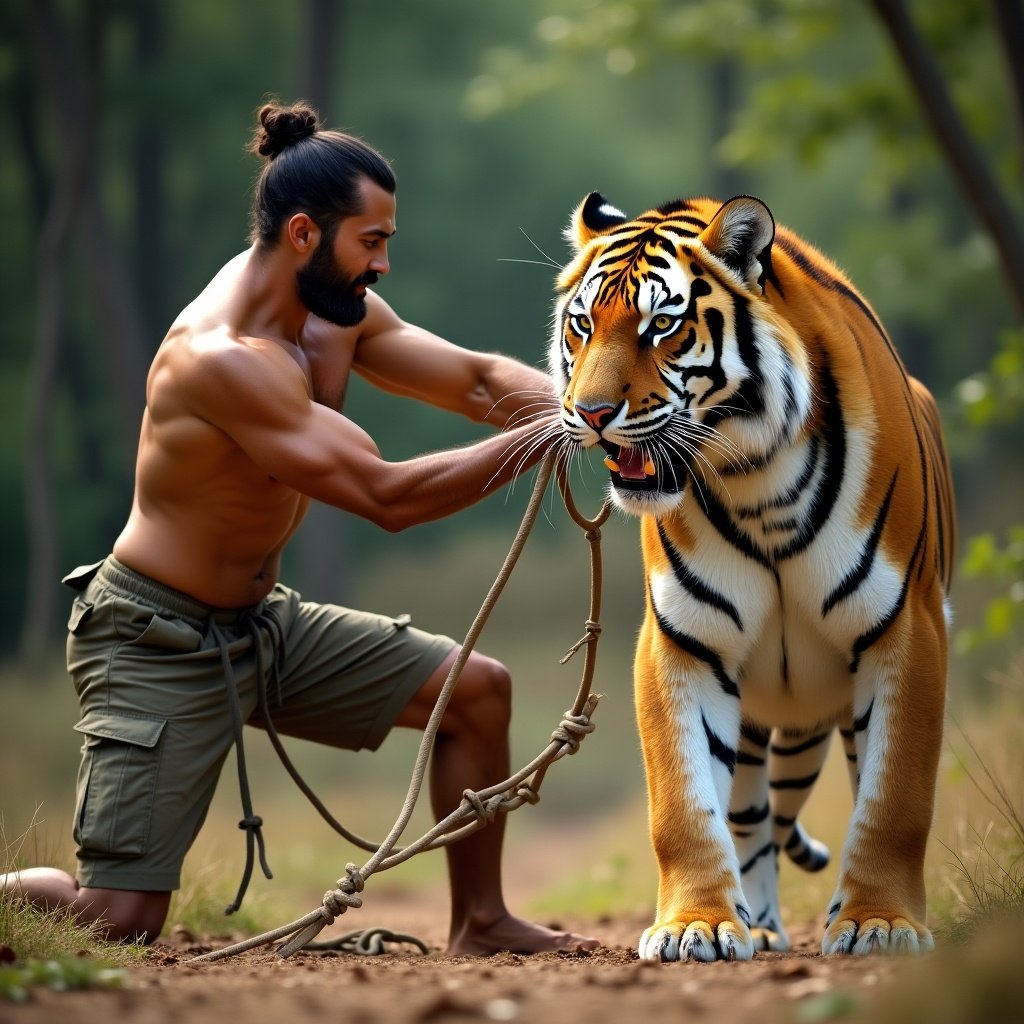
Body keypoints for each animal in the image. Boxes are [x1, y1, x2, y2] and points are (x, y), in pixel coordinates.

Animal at [548, 190, 954, 958]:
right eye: (582, 325)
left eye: (662, 325)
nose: (590, 413)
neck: (754, 479)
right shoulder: (683, 642)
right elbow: (684, 806)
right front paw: (698, 925)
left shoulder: (908, 631)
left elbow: (894, 799)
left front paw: (879, 922)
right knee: (752, 815)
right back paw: (760, 926)